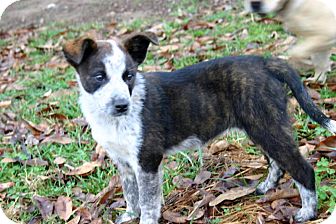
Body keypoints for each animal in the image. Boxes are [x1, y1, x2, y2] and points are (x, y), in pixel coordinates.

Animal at [63, 32, 336, 224]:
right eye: (99, 77)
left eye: (128, 75)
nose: (122, 105)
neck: (112, 119)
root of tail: (265, 62)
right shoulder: (124, 162)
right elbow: (131, 193)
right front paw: (130, 215)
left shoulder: (147, 160)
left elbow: (149, 200)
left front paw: (145, 220)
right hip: (260, 127)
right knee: (277, 162)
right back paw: (267, 187)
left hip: (266, 125)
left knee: (301, 168)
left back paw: (307, 213)